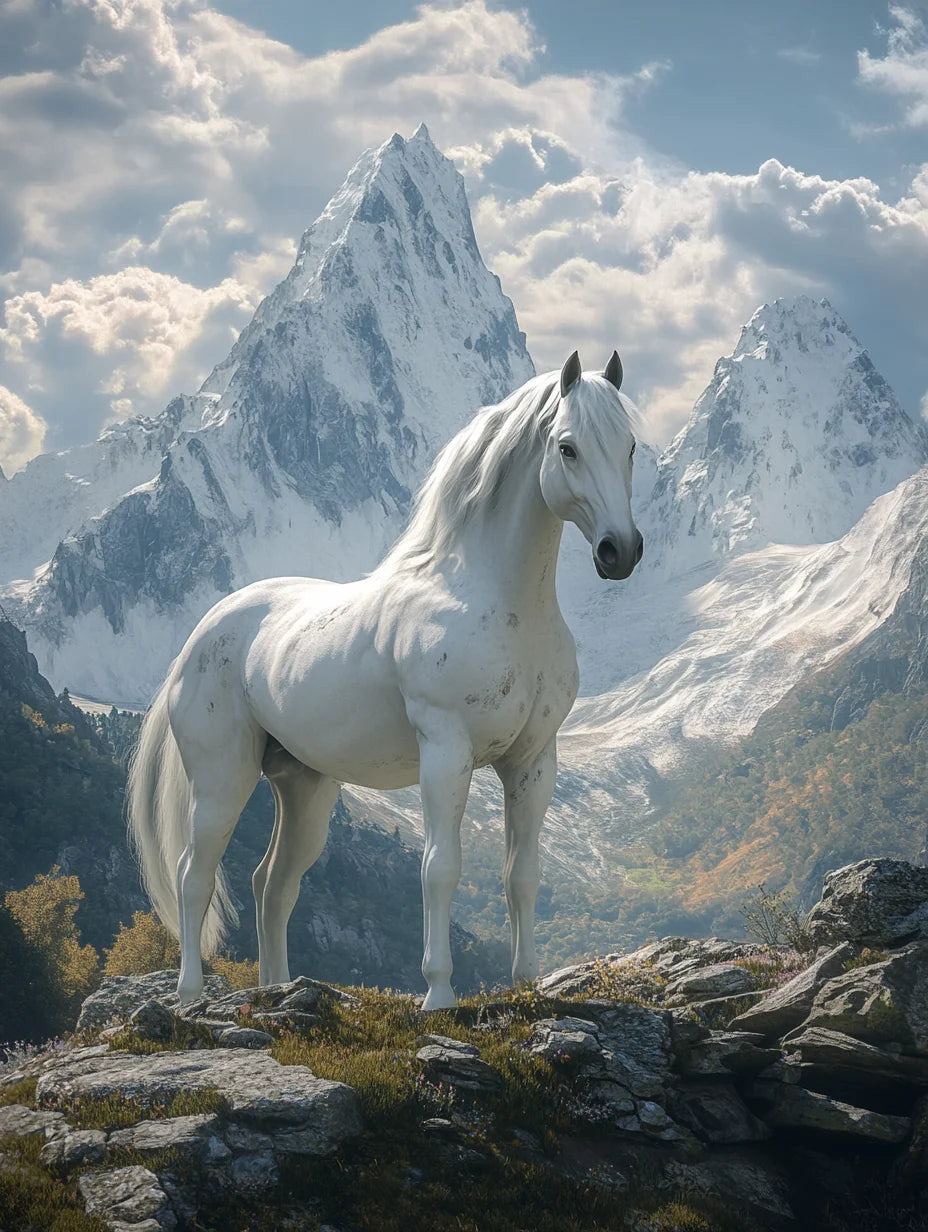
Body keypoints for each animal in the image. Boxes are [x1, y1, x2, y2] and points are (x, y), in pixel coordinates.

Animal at [127, 350, 644, 1010]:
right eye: (568, 447)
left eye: (630, 446)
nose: (619, 551)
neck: (496, 600)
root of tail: (199, 638)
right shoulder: (446, 752)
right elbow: (440, 867)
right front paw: (439, 994)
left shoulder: (533, 760)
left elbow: (522, 875)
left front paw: (528, 985)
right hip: (222, 780)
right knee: (194, 875)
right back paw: (191, 993)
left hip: (305, 790)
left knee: (272, 884)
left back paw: (276, 989)